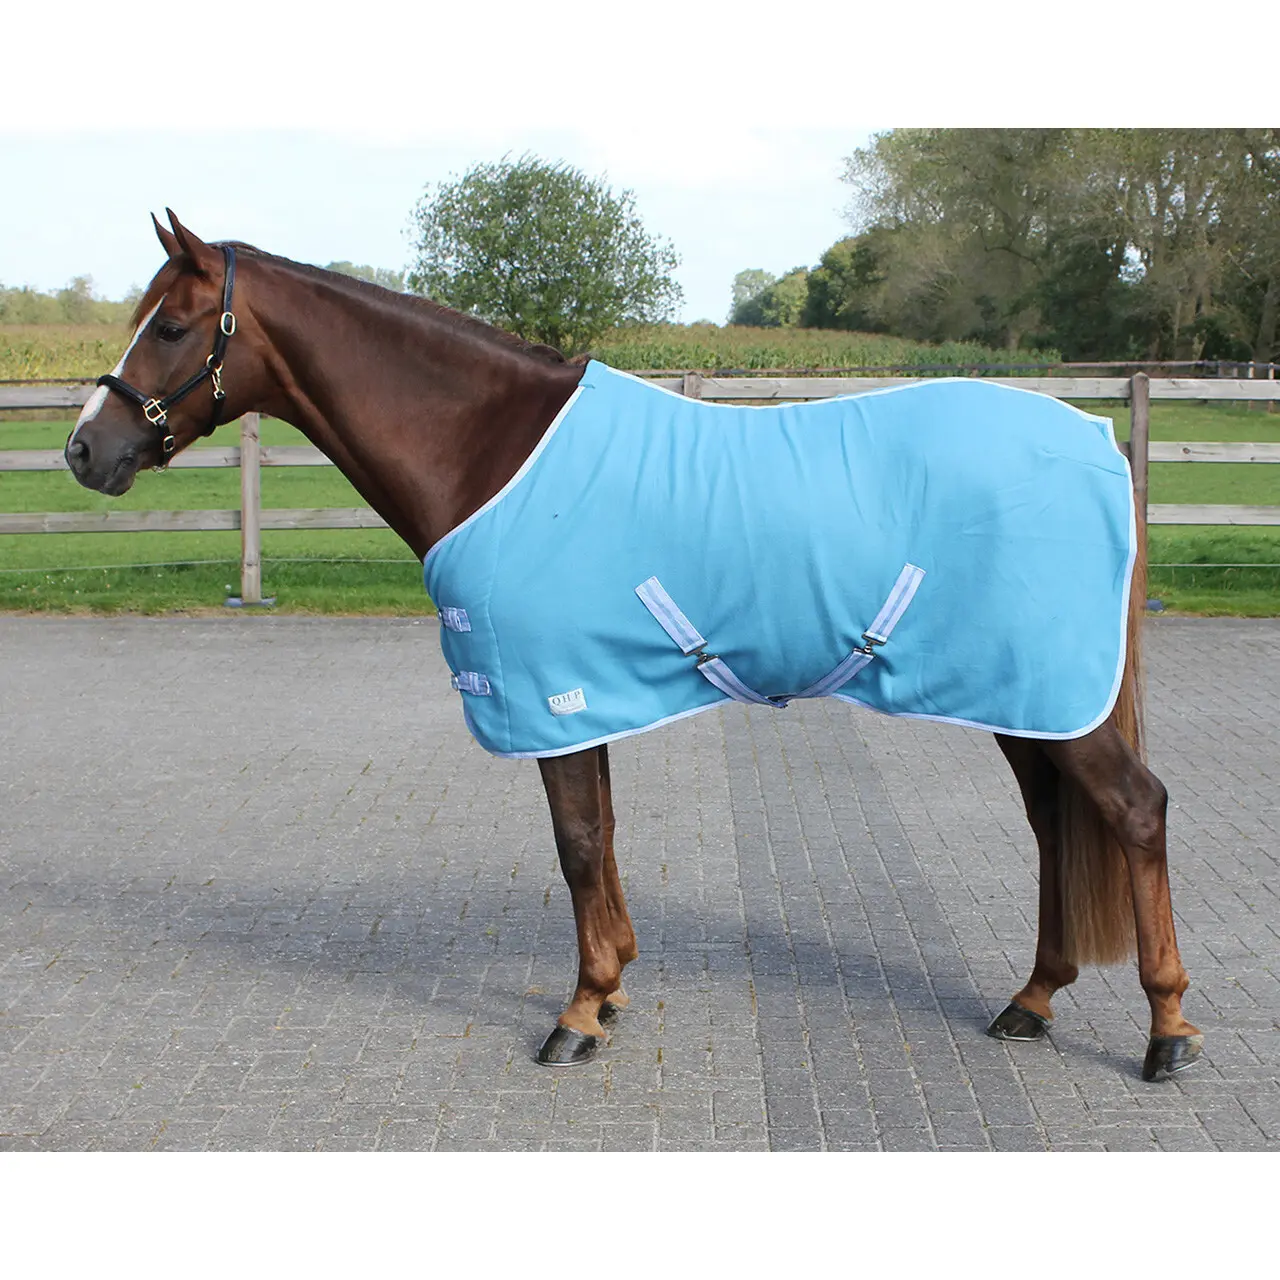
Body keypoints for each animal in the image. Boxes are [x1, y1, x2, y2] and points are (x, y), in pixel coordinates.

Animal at [64, 211, 1202, 1082]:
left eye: (171, 326)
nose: (85, 451)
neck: (491, 450)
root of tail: (1098, 441)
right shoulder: (581, 693)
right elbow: (599, 837)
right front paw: (608, 988)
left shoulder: (549, 691)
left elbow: (575, 844)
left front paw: (576, 1013)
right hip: (1027, 696)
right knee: (1056, 828)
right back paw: (1033, 998)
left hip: (1056, 699)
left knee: (1134, 811)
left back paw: (1167, 1030)